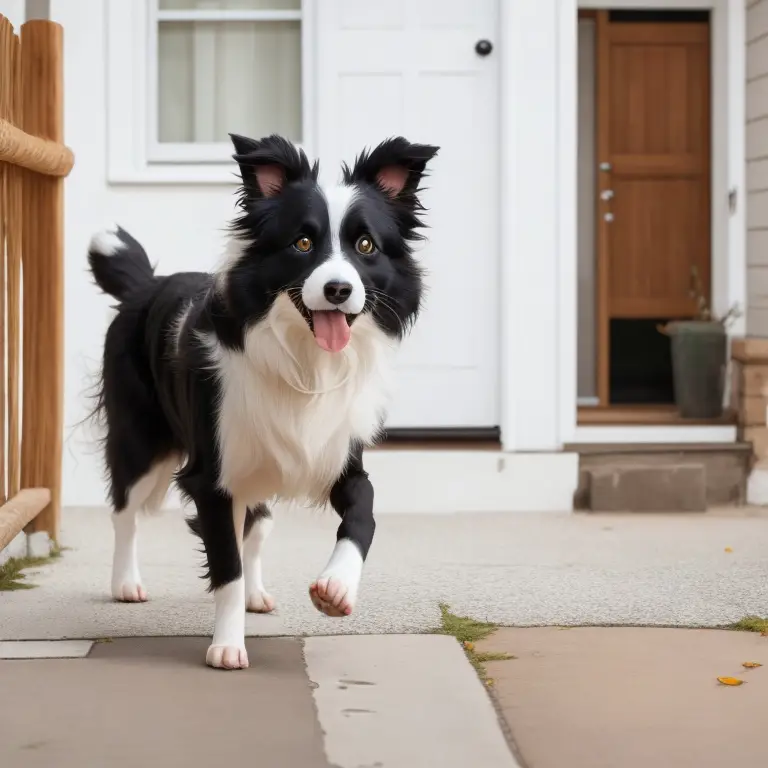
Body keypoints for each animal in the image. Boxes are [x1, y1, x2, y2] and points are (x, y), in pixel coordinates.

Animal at [88, 135, 438, 668]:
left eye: (365, 246)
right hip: (141, 440)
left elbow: (365, 512)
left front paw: (337, 587)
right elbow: (225, 566)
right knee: (124, 510)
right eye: (302, 243)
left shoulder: (339, 457)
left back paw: (257, 594)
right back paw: (126, 583)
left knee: (256, 526)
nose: (339, 289)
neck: (306, 360)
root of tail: (146, 285)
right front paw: (227, 646)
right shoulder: (212, 476)